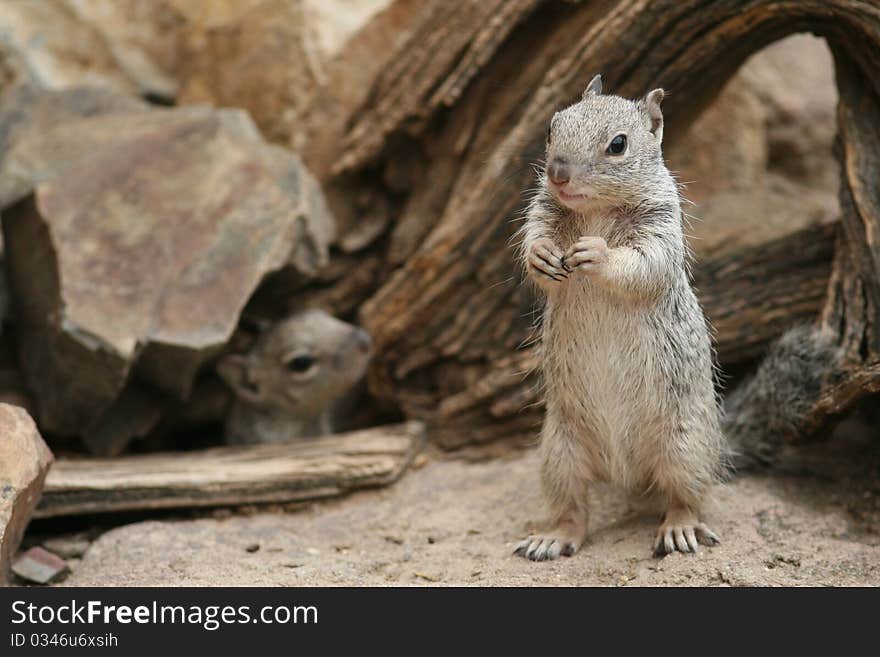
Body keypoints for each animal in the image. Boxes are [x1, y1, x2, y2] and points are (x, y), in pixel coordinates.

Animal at [516, 75, 844, 560]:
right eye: (553, 126)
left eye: (618, 144)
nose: (557, 173)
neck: (594, 210)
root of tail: (628, 474)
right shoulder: (544, 208)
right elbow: (536, 239)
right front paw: (541, 254)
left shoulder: (661, 227)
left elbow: (643, 264)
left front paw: (598, 253)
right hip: (560, 452)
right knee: (573, 508)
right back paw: (554, 536)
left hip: (683, 446)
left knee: (687, 496)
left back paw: (679, 528)